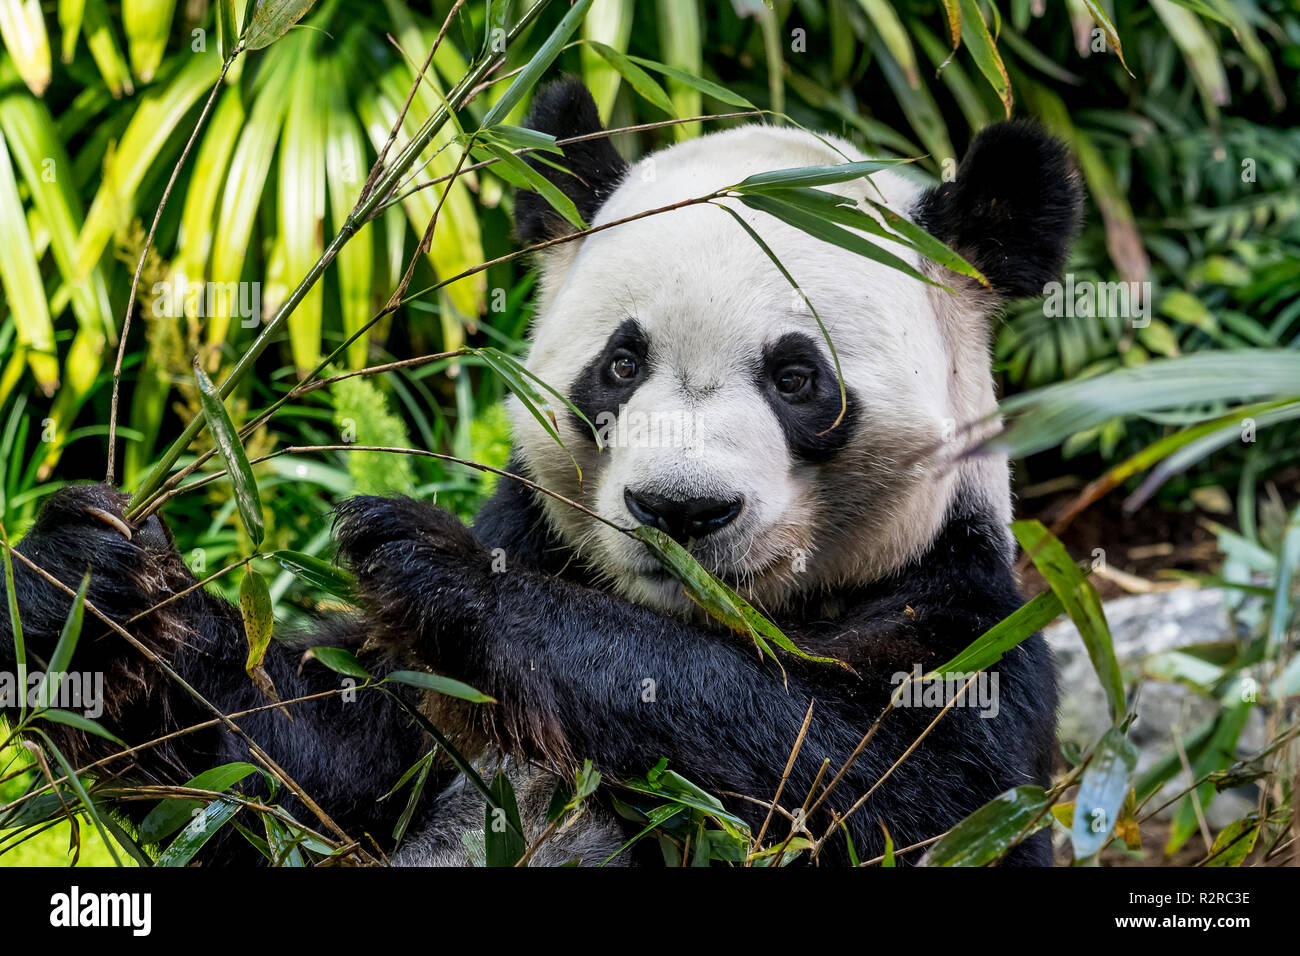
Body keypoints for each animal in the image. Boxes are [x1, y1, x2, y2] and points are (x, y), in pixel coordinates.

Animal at [1, 78, 1080, 867]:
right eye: (622, 363)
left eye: (796, 377)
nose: (679, 510)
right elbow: (294, 769)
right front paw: (94, 589)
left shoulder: (960, 616)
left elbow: (866, 781)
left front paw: (440, 571)